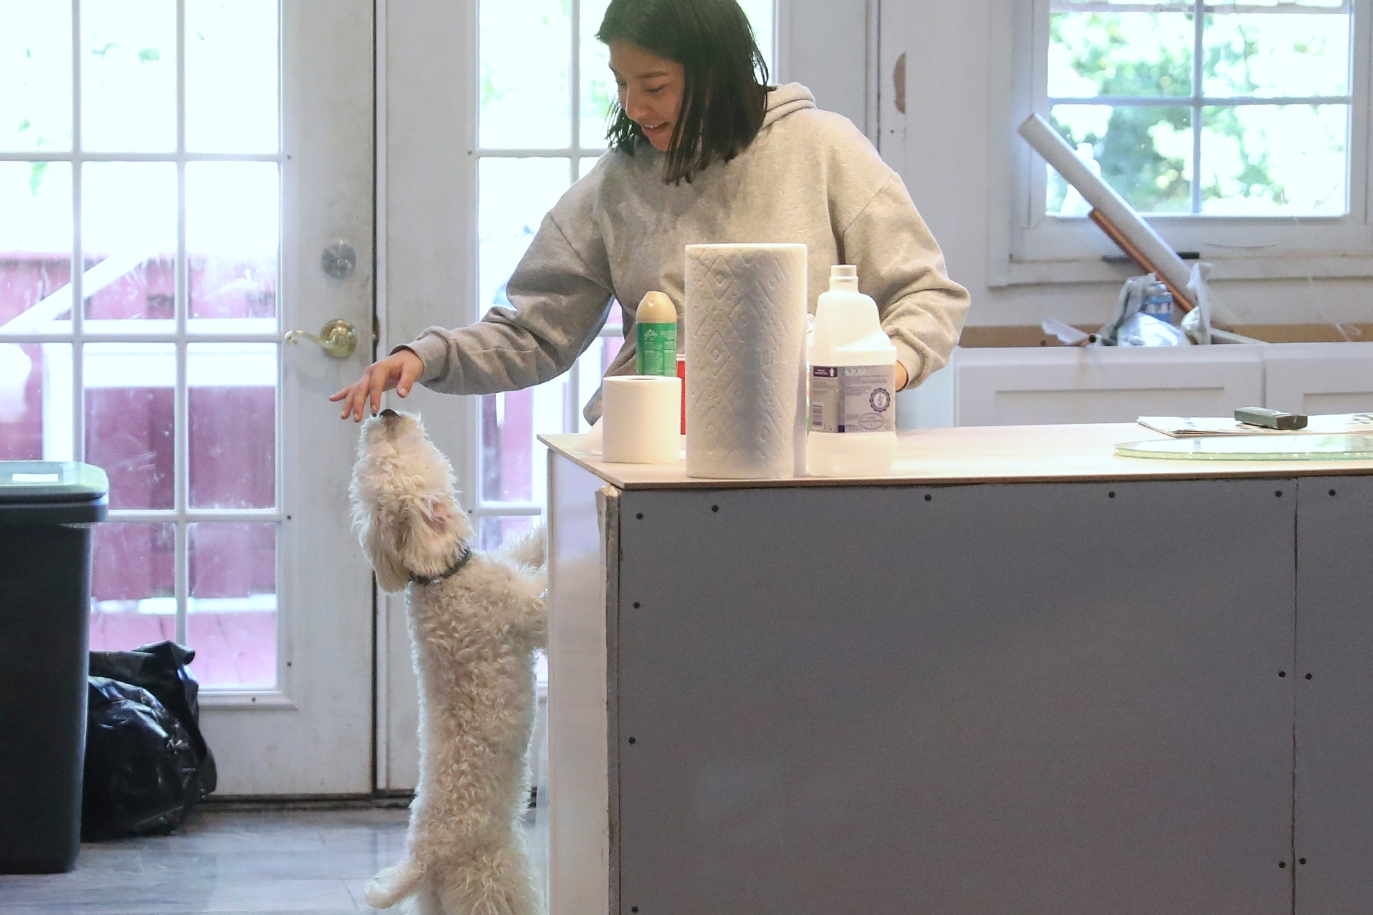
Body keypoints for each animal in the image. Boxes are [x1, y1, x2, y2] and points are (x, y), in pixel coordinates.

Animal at [348, 406, 546, 912]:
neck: (440, 577)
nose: (385, 411)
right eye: (382, 461)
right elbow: (543, 599)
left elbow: (525, 548)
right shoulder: (521, 612)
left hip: (437, 899)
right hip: (494, 880)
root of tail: (423, 860)